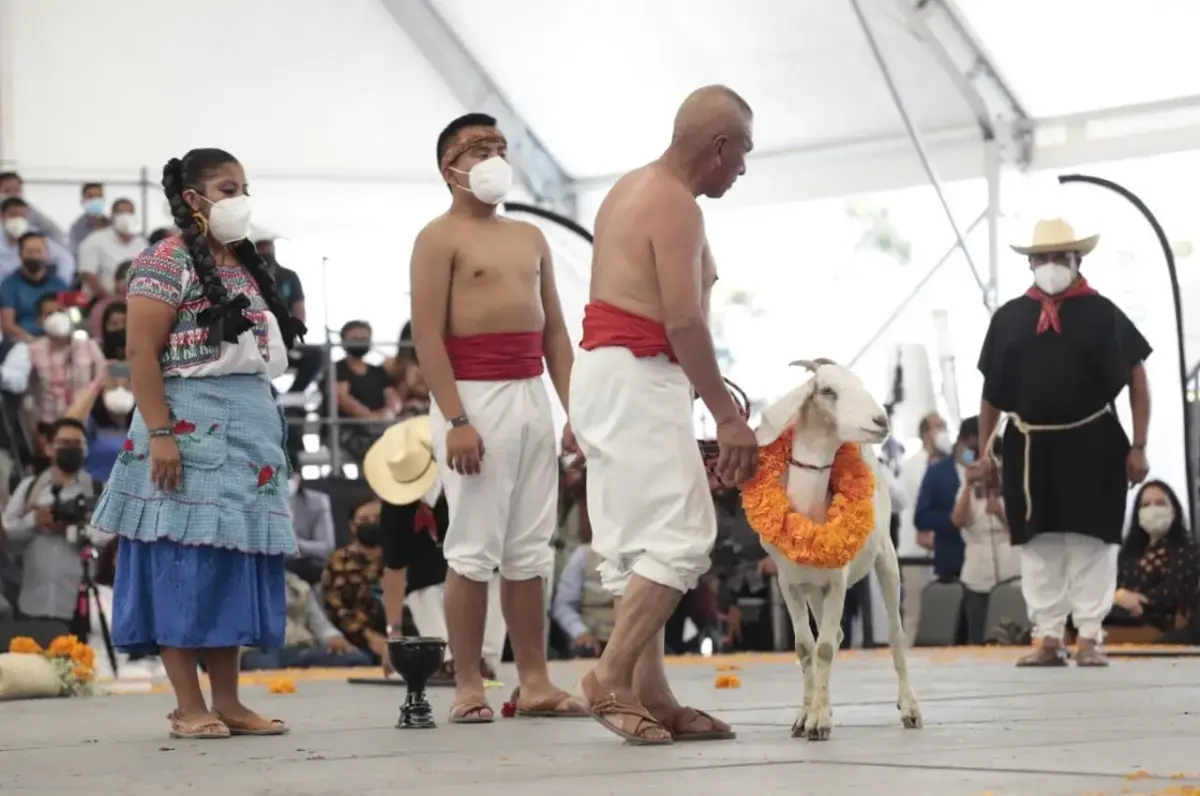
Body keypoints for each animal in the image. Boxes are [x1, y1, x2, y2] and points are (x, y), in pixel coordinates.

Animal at [748, 360, 926, 739]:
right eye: (827, 390)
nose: (880, 421)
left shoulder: (838, 582)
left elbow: (826, 648)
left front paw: (819, 724)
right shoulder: (789, 584)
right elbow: (805, 648)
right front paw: (804, 718)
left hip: (886, 560)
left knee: (896, 636)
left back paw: (910, 709)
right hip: (814, 590)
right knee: (836, 636)